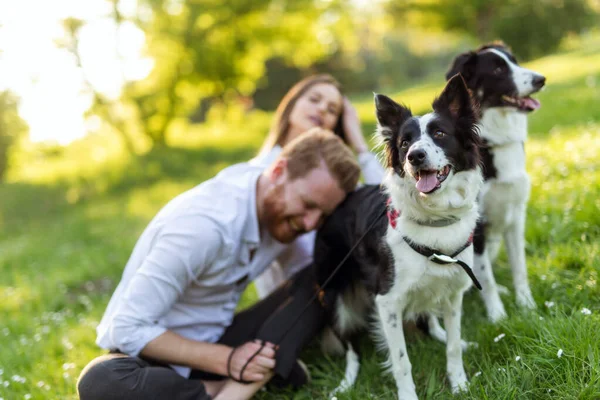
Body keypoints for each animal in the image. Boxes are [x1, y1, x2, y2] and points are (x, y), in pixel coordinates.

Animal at [314, 74, 482, 396]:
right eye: (405, 142)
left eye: (440, 133)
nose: (415, 156)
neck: (434, 220)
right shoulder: (387, 301)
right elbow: (402, 361)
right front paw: (408, 396)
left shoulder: (453, 292)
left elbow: (453, 345)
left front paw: (460, 384)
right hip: (335, 298)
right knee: (350, 348)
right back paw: (346, 383)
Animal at [446, 42, 548, 320]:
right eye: (498, 69)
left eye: (515, 61)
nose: (540, 79)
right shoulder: (478, 227)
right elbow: (486, 277)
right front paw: (497, 316)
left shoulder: (516, 216)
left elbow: (519, 267)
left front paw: (526, 305)